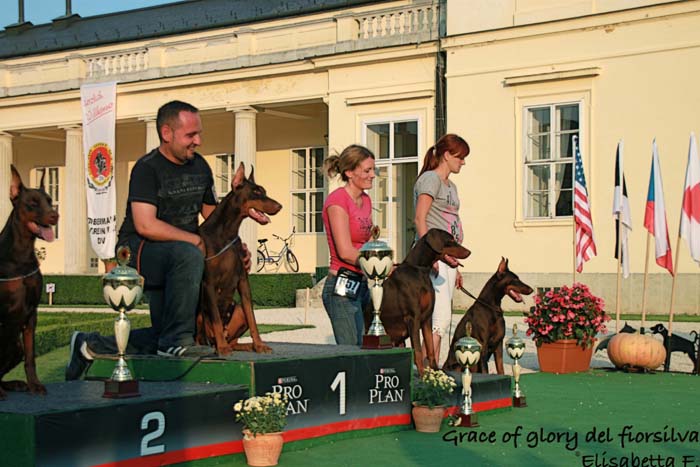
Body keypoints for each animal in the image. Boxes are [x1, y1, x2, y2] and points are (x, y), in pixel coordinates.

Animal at [197, 162, 282, 356]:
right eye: (256, 192)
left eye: (264, 191)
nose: (279, 206)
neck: (227, 233)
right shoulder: (208, 283)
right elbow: (216, 319)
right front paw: (222, 349)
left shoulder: (243, 281)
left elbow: (252, 318)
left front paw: (259, 344)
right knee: (202, 335)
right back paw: (216, 345)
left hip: (237, 310)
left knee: (234, 339)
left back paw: (244, 345)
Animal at [366, 228, 470, 375]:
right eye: (450, 240)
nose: (469, 252)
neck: (420, 270)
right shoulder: (413, 317)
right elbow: (419, 351)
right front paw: (423, 375)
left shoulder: (427, 318)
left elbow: (430, 348)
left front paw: (435, 372)